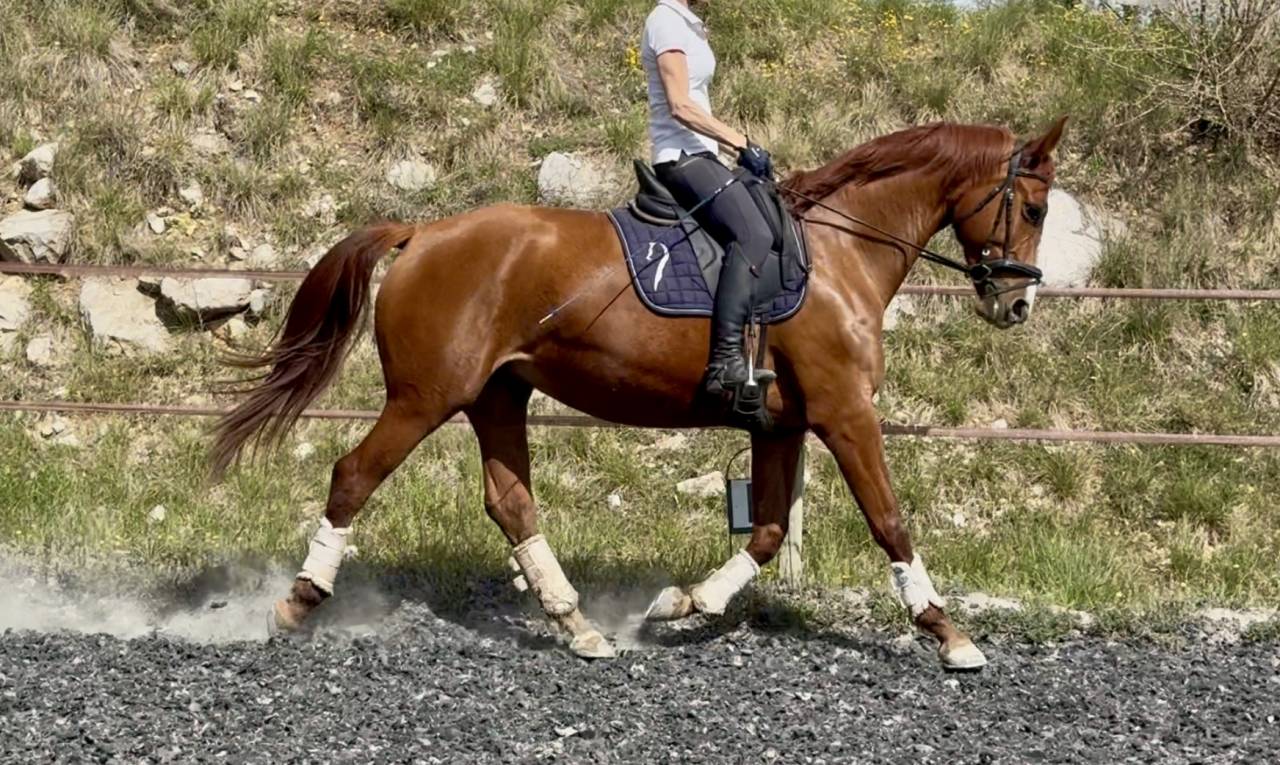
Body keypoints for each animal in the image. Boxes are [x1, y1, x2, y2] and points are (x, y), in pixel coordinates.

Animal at [212, 118, 1065, 670]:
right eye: (1032, 207)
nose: (1018, 304)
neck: (840, 250)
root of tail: (422, 233)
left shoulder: (780, 425)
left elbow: (766, 532)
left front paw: (683, 604)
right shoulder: (845, 414)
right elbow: (890, 521)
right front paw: (949, 634)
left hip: (497, 395)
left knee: (510, 501)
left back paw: (579, 626)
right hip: (425, 397)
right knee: (354, 475)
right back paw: (297, 601)